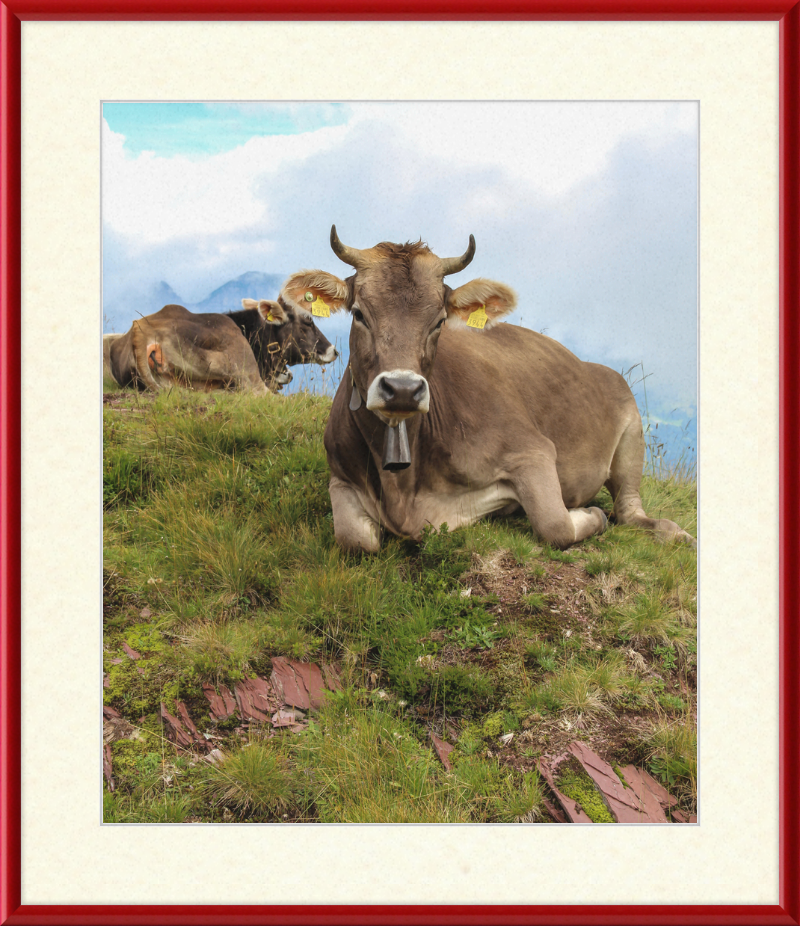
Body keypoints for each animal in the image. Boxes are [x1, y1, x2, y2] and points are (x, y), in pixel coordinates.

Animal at [288, 228, 692, 556]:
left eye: (439, 321)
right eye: (359, 313)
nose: (402, 389)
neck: (402, 488)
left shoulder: (532, 451)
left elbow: (556, 525)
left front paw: (590, 514)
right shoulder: (341, 476)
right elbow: (355, 539)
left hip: (632, 431)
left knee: (629, 509)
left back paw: (673, 532)